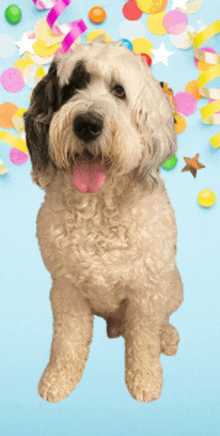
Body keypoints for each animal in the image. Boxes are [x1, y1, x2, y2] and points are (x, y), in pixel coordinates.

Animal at [23, 35, 184, 404]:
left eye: (119, 91)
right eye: (72, 88)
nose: (87, 124)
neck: (97, 208)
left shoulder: (145, 292)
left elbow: (143, 341)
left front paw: (145, 380)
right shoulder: (66, 290)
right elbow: (67, 341)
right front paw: (58, 379)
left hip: (171, 285)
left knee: (161, 320)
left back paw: (167, 337)